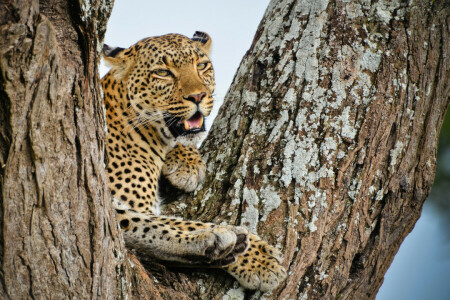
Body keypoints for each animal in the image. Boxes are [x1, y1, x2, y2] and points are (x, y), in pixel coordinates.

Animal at [101, 31, 284, 292]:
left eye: (202, 65)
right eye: (163, 72)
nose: (198, 96)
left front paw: (185, 163)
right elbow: (169, 222)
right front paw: (258, 258)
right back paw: (218, 242)